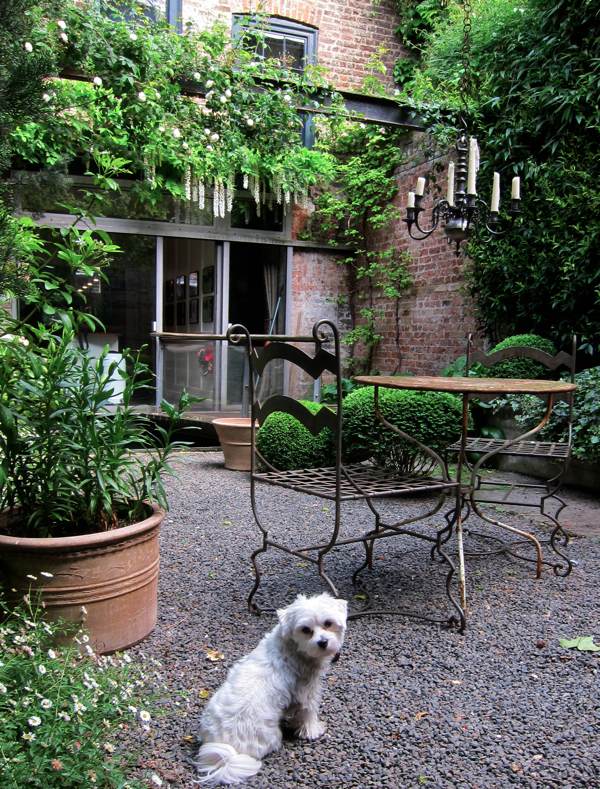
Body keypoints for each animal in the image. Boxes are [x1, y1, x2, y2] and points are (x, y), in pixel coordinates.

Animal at [193, 593, 348, 785]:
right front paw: (312, 730)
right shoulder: (307, 690)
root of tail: (225, 746)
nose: (323, 642)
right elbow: (309, 712)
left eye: (328, 623)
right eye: (306, 629)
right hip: (271, 735)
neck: (293, 647)